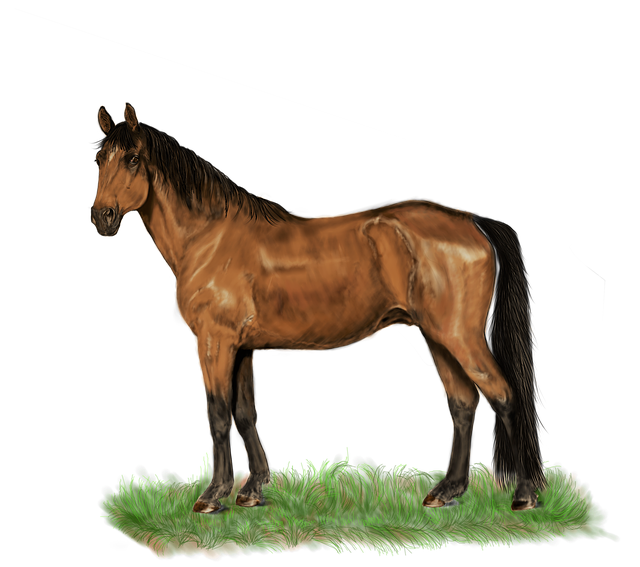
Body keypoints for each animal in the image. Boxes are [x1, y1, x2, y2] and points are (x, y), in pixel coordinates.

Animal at [90, 102, 547, 514]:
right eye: (99, 158)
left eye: (132, 159)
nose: (102, 216)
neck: (210, 236)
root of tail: (471, 221)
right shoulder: (240, 347)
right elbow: (245, 412)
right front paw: (253, 489)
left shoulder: (216, 341)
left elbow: (219, 413)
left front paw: (213, 496)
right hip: (438, 338)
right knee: (465, 404)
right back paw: (447, 491)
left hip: (459, 336)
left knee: (503, 395)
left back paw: (524, 494)